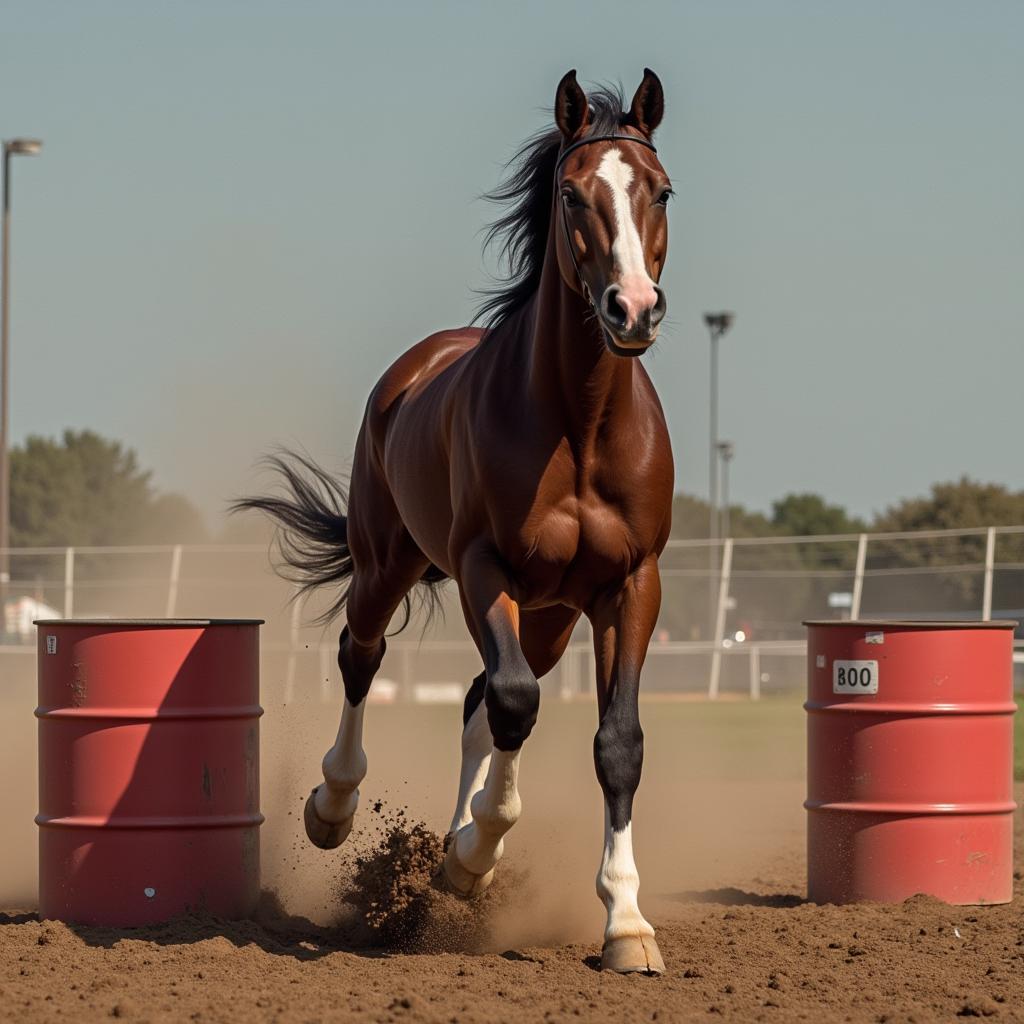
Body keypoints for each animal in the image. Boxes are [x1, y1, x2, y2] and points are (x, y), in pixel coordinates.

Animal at [235, 72, 675, 974]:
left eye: (662, 190)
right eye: (572, 193)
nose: (633, 310)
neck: (580, 425)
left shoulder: (630, 584)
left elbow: (615, 742)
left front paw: (625, 925)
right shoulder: (484, 568)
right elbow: (513, 703)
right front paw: (473, 857)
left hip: (550, 616)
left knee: (476, 698)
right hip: (387, 567)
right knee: (365, 657)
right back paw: (336, 807)